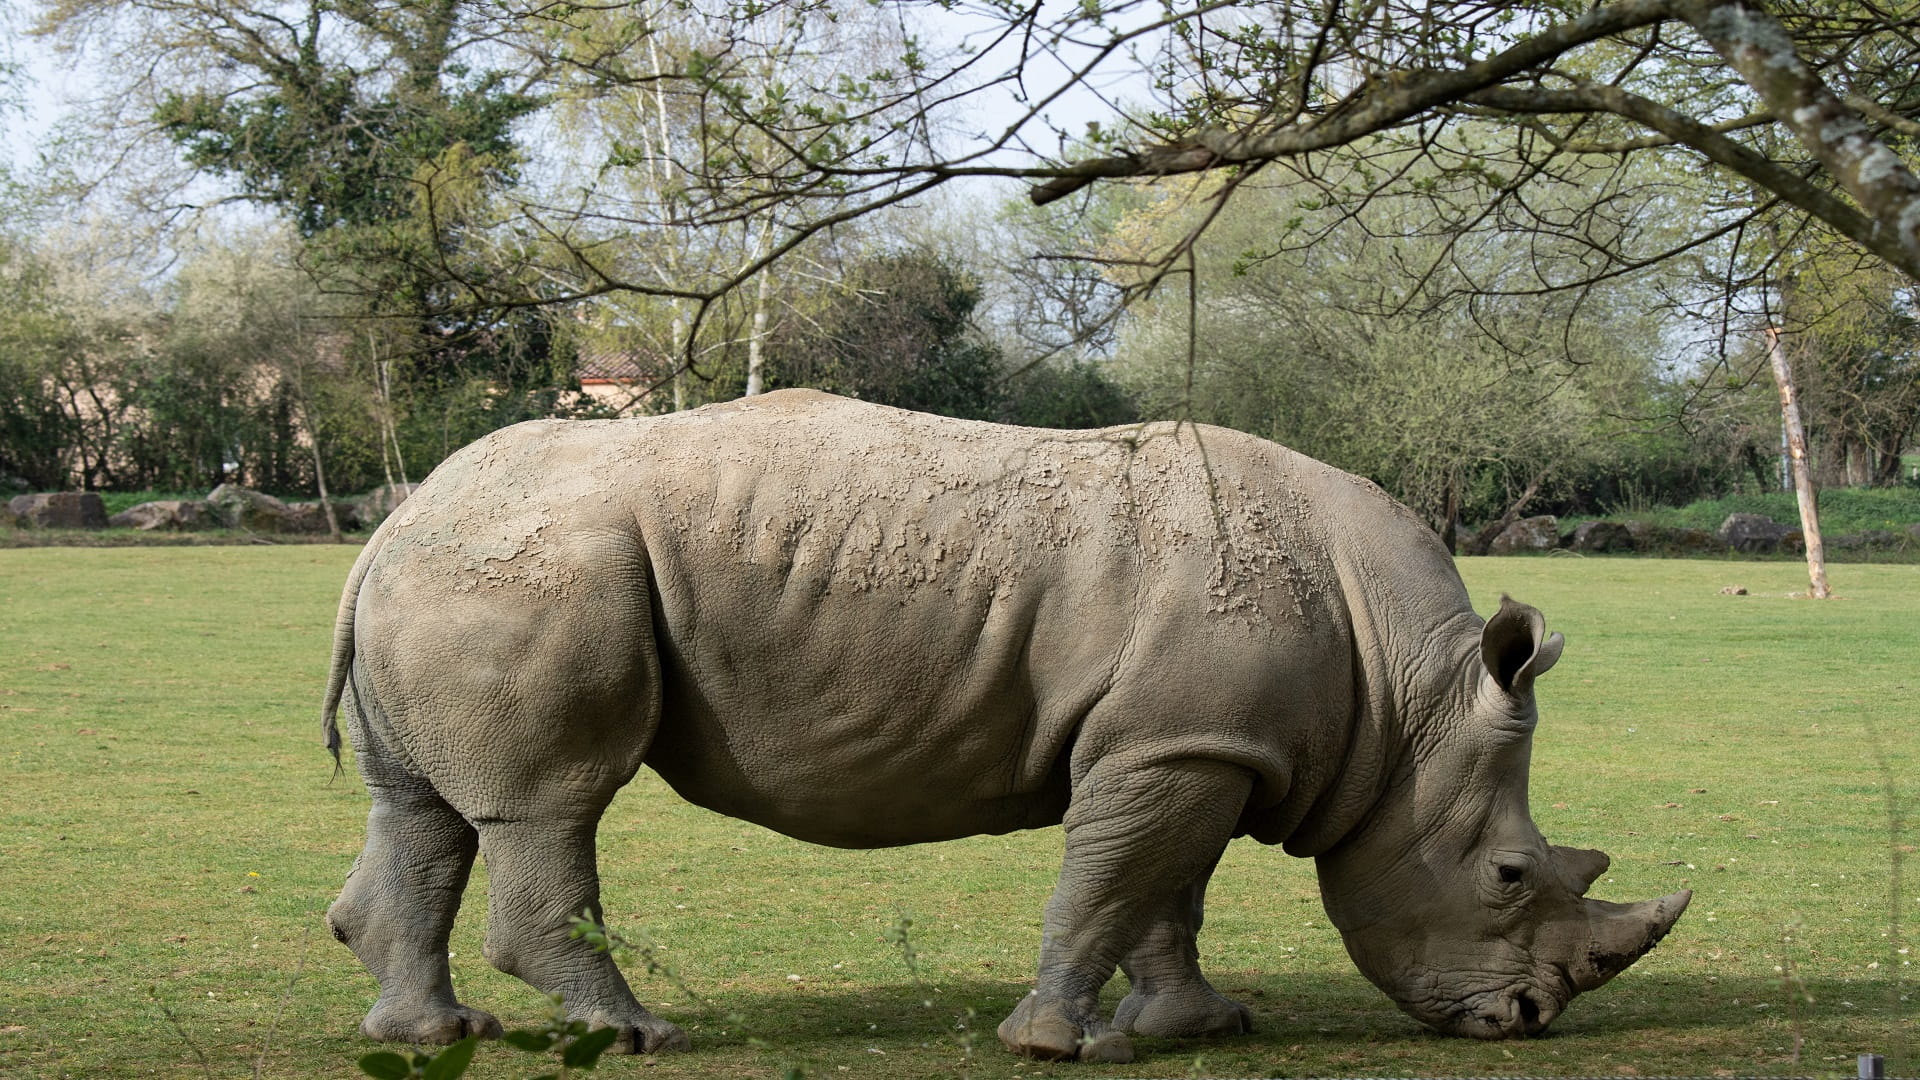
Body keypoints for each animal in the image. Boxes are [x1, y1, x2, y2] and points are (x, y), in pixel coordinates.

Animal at [322, 389, 1688, 1063]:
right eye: (1509, 876)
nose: (1528, 1021)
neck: (1410, 696)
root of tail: (395, 519)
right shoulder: (1178, 745)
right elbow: (1116, 884)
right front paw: (1052, 1046)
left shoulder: (1195, 743)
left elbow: (1166, 896)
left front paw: (1196, 1029)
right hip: (534, 576)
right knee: (553, 804)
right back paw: (638, 1038)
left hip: (458, 573)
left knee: (424, 809)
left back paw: (435, 1033)